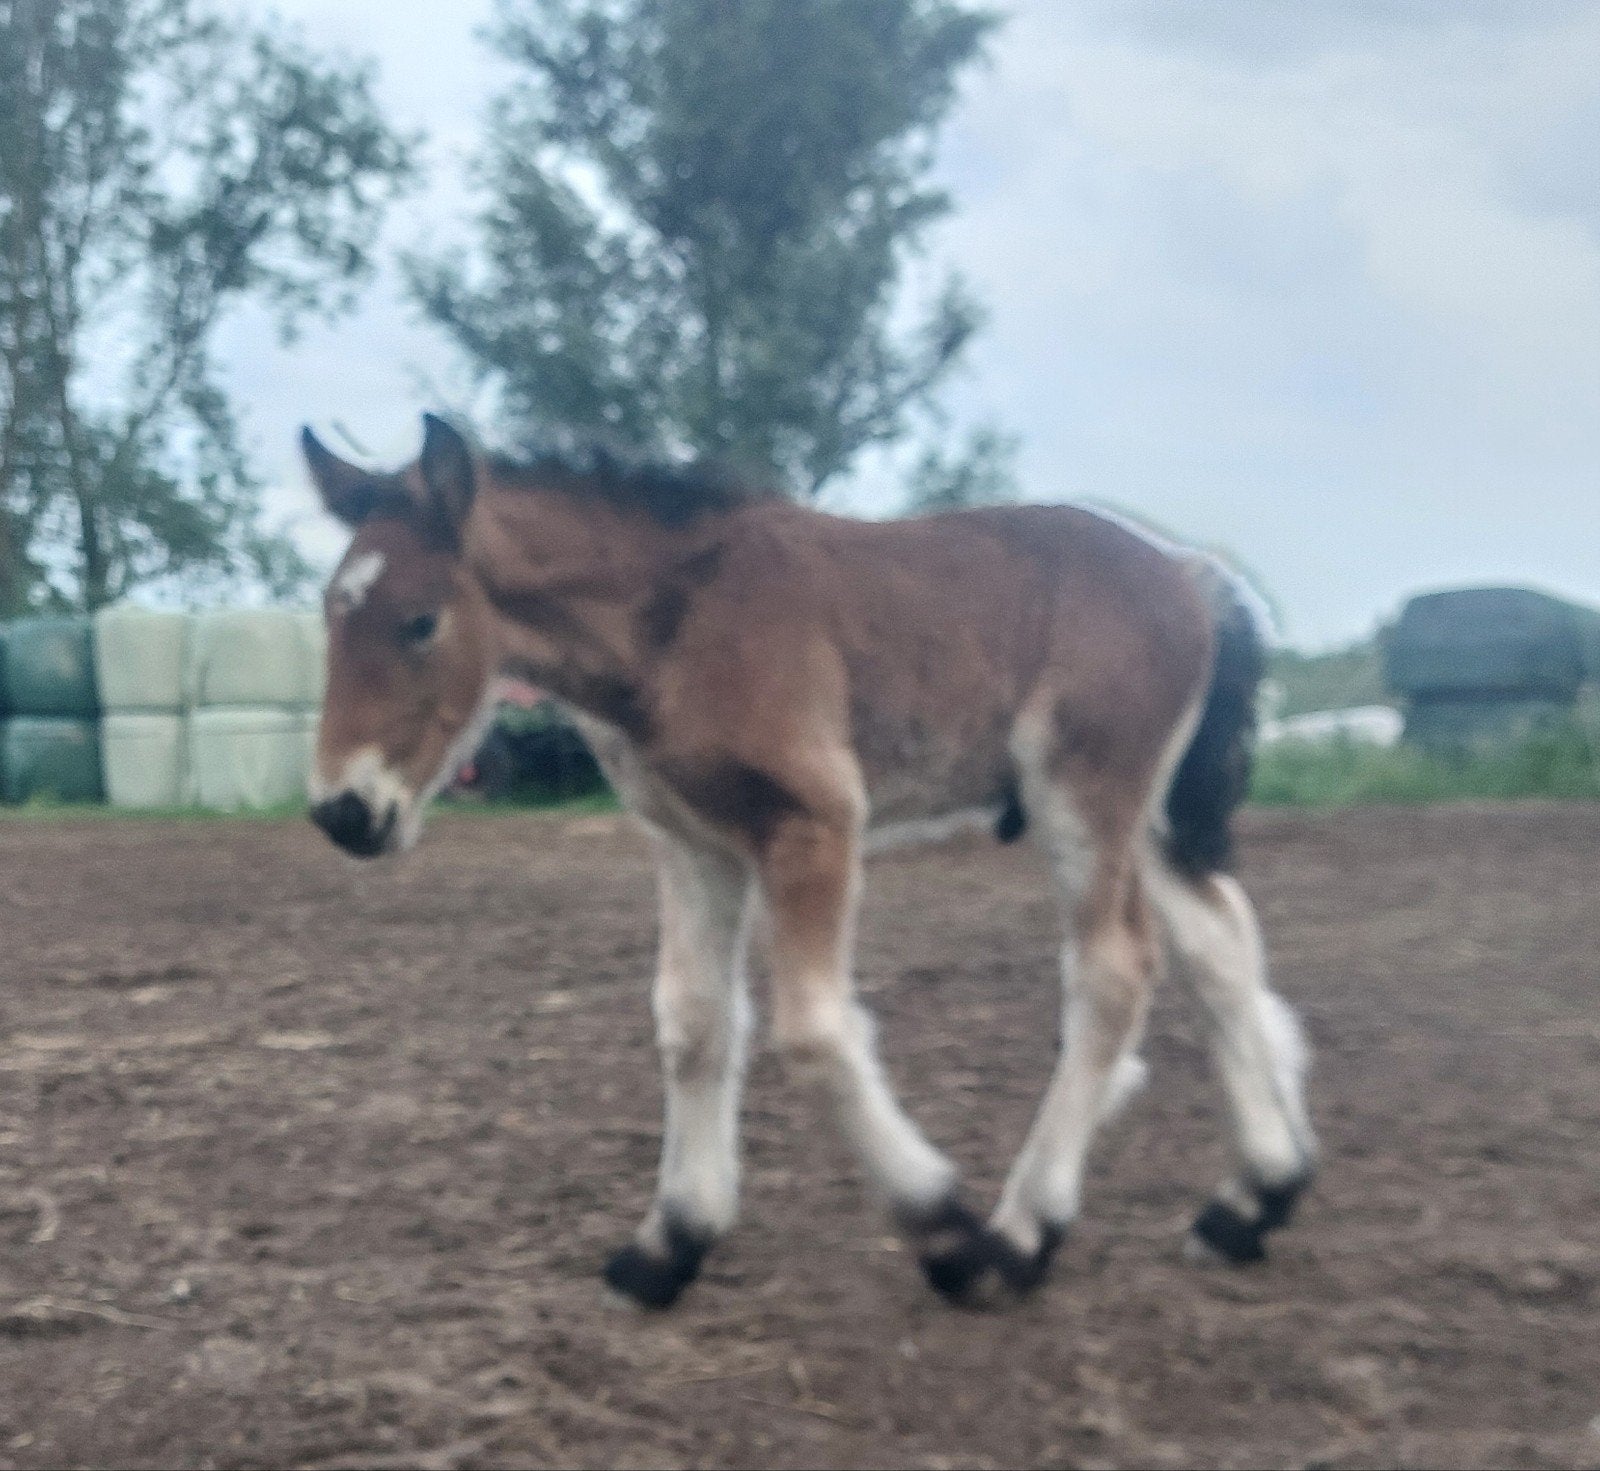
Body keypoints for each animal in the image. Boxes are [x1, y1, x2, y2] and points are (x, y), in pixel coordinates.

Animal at [302, 413, 1316, 1309]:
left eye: (421, 621)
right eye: (328, 614)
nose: (345, 811)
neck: (680, 621)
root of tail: (1188, 573)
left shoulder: (815, 820)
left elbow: (814, 1030)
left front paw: (944, 1230)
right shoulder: (692, 841)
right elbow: (694, 1022)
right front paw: (669, 1240)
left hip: (1085, 796)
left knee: (1116, 970)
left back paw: (1024, 1231)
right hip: (1143, 817)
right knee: (1218, 943)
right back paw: (1256, 1194)